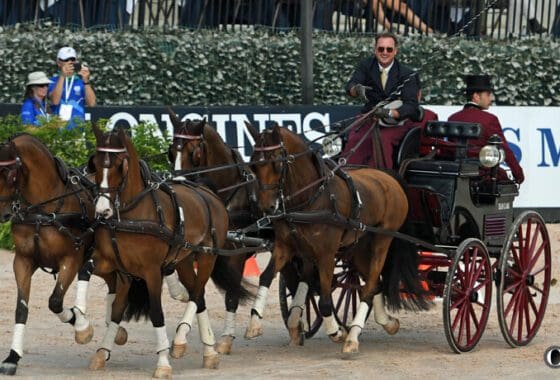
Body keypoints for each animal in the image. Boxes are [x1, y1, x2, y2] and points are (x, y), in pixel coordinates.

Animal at [0, 133, 127, 374]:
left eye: (10, 174)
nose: (2, 213)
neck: (44, 211)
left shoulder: (71, 260)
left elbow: (55, 301)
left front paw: (83, 328)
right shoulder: (22, 261)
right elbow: (21, 309)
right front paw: (12, 357)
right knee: (114, 285)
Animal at [82, 124, 230, 378]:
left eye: (119, 165)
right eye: (96, 163)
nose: (102, 211)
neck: (131, 215)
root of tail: (207, 193)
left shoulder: (151, 272)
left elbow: (156, 313)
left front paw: (162, 363)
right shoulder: (115, 266)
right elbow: (112, 306)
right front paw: (92, 339)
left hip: (207, 255)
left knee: (197, 293)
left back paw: (181, 340)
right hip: (183, 260)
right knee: (198, 296)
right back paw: (209, 351)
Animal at [167, 111, 260, 354]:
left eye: (194, 152)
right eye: (171, 152)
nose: (178, 182)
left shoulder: (236, 254)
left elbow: (231, 296)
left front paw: (225, 339)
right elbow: (196, 294)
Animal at [246, 123, 428, 354]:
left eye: (277, 163)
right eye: (253, 164)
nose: (267, 207)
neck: (312, 198)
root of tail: (388, 177)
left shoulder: (326, 254)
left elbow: (324, 301)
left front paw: (337, 332)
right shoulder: (285, 247)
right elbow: (267, 277)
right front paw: (255, 322)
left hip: (382, 240)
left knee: (370, 283)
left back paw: (353, 337)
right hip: (358, 246)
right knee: (373, 283)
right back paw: (386, 323)